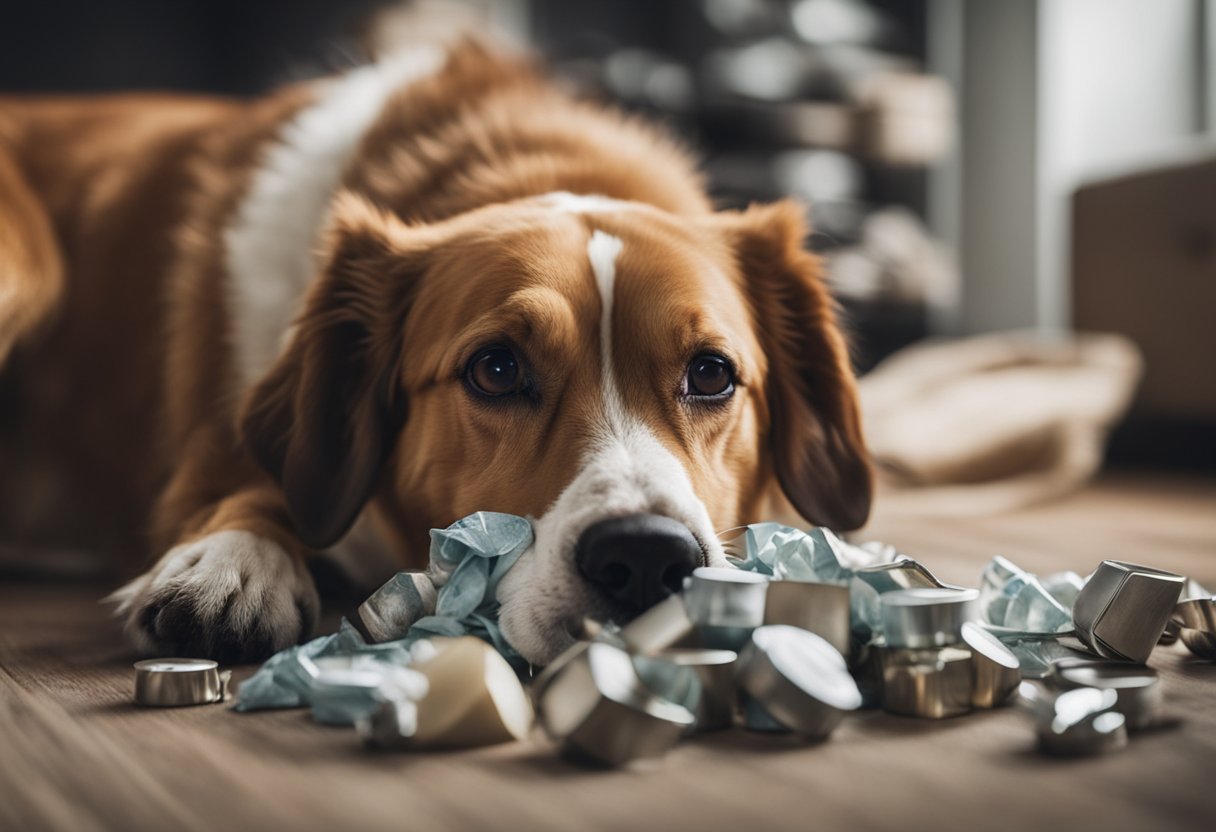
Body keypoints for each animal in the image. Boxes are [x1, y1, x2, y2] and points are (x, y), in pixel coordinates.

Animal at [2, 38, 875, 666]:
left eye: (711, 373)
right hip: (27, 266)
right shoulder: (209, 452)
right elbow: (253, 487)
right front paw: (232, 560)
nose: (645, 557)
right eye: (496, 369)